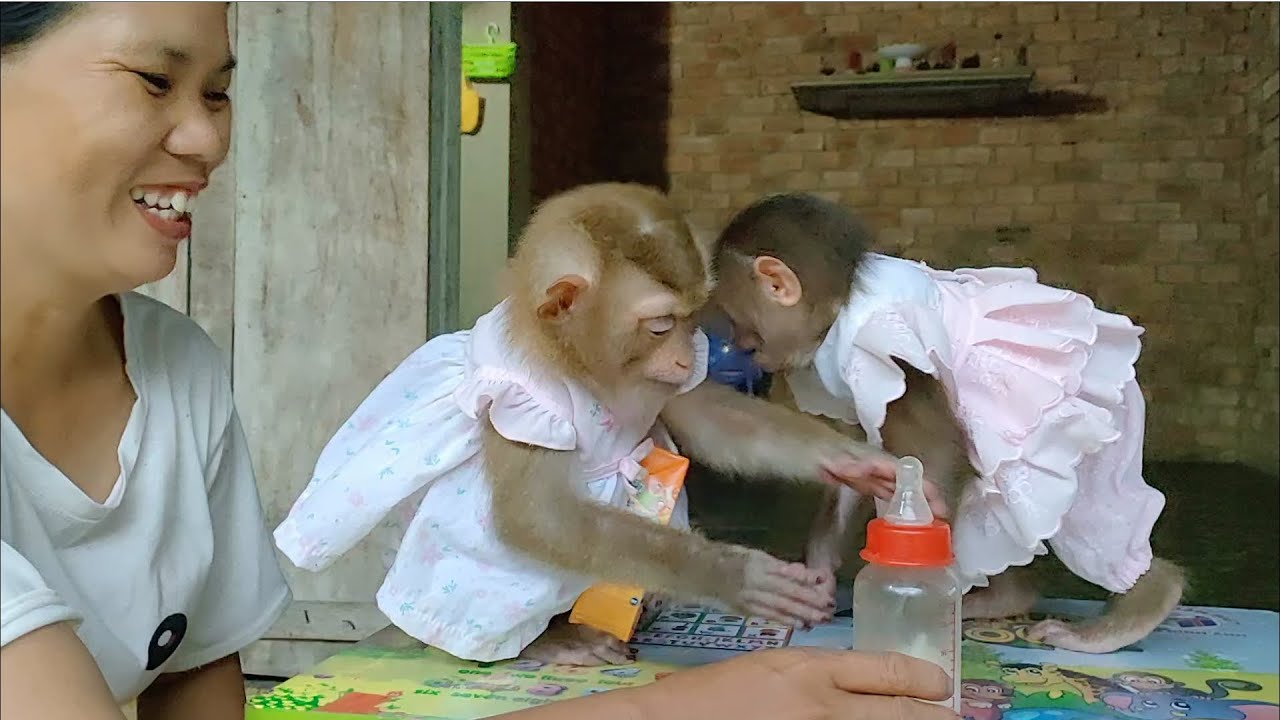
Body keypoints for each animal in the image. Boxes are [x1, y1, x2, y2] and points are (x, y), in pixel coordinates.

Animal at [274, 183, 900, 667]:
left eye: (690, 322)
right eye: (660, 325)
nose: (683, 357)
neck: (581, 364)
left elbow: (711, 419)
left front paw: (861, 463)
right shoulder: (522, 389)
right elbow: (541, 515)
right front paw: (736, 576)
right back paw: (545, 640)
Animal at [706, 192, 1187, 655]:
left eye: (736, 317)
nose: (740, 345)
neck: (839, 305)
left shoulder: (886, 346)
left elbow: (930, 449)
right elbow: (862, 450)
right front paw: (822, 566)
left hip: (1096, 417)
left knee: (1079, 512)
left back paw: (1141, 602)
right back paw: (1007, 598)